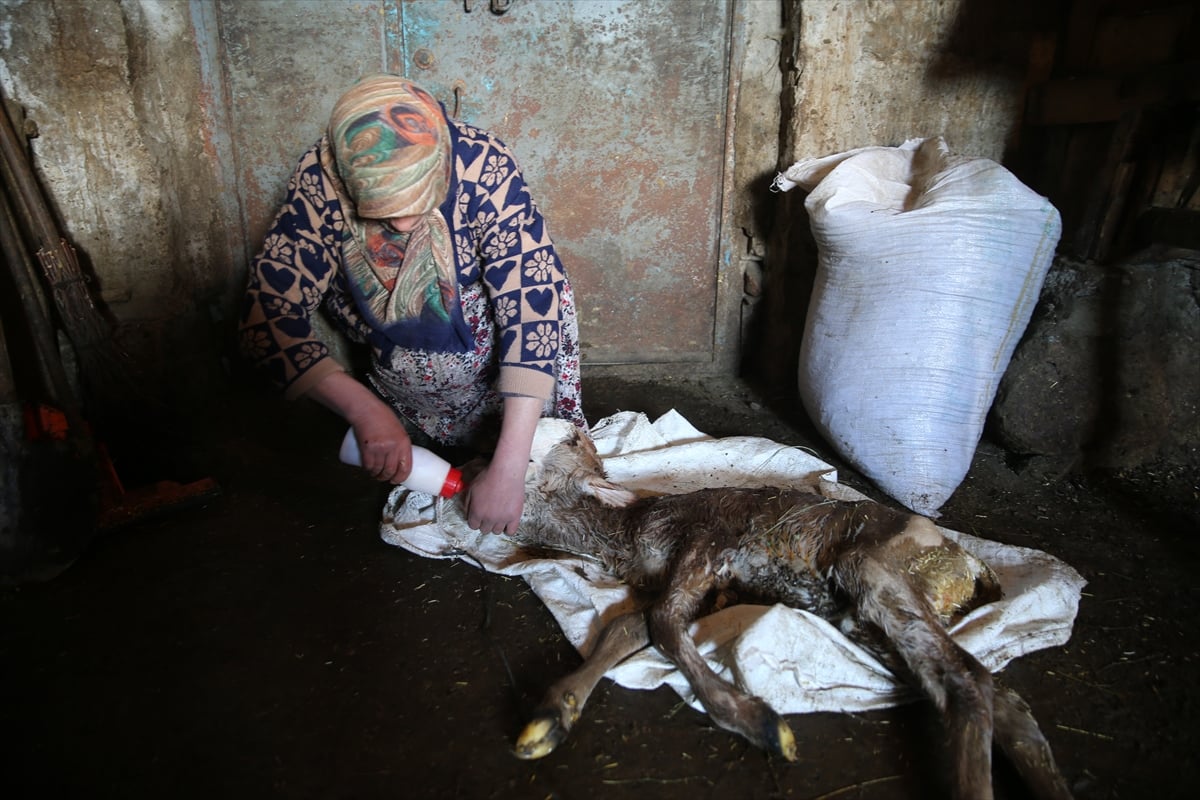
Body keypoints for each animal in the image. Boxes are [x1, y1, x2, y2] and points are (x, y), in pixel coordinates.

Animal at [506, 419, 1070, 800]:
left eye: (568, 441)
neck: (626, 531)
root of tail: (970, 564)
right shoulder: (699, 587)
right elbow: (628, 626)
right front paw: (549, 717)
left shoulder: (705, 546)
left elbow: (661, 624)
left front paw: (761, 724)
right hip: (867, 616)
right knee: (999, 696)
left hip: (875, 567)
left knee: (967, 679)